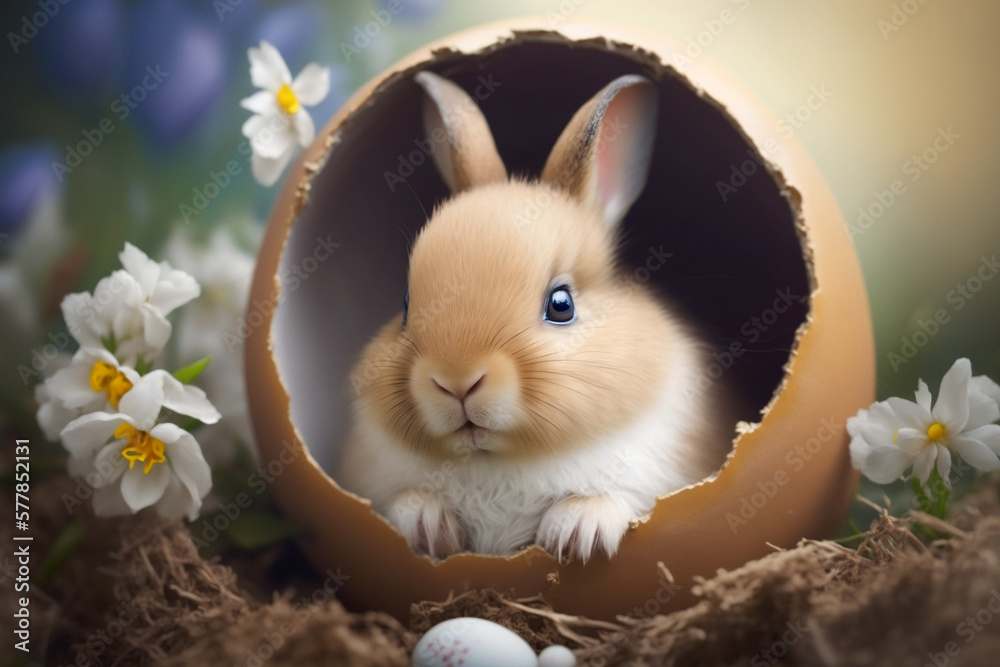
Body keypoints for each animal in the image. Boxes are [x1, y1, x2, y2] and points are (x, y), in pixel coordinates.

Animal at [338, 70, 732, 563]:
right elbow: (407, 501)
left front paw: (576, 534)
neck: (498, 459)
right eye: (406, 306)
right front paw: (428, 527)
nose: (456, 381)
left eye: (561, 304)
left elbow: (611, 499)